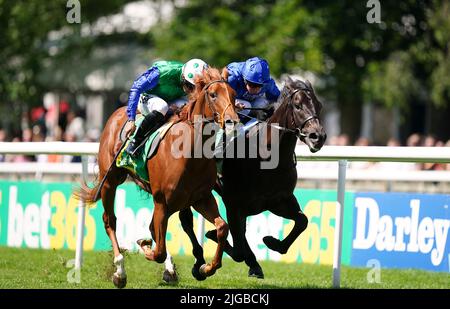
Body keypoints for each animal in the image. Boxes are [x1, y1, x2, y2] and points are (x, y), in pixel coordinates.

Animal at [77, 67, 239, 286]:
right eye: (213, 94)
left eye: (233, 94)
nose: (233, 122)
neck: (191, 152)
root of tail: (118, 113)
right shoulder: (162, 201)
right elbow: (158, 250)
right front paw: (144, 246)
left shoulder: (201, 198)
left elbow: (222, 227)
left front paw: (207, 267)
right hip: (110, 181)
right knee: (110, 220)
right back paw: (120, 271)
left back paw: (169, 270)